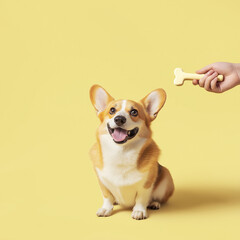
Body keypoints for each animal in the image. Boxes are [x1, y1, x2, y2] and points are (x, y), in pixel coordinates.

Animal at [89, 85, 173, 220]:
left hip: (166, 176)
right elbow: (107, 197)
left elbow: (141, 198)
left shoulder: (146, 184)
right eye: (112, 110)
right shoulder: (102, 182)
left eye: (134, 112)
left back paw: (154, 203)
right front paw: (106, 208)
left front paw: (139, 211)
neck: (121, 152)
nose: (119, 119)